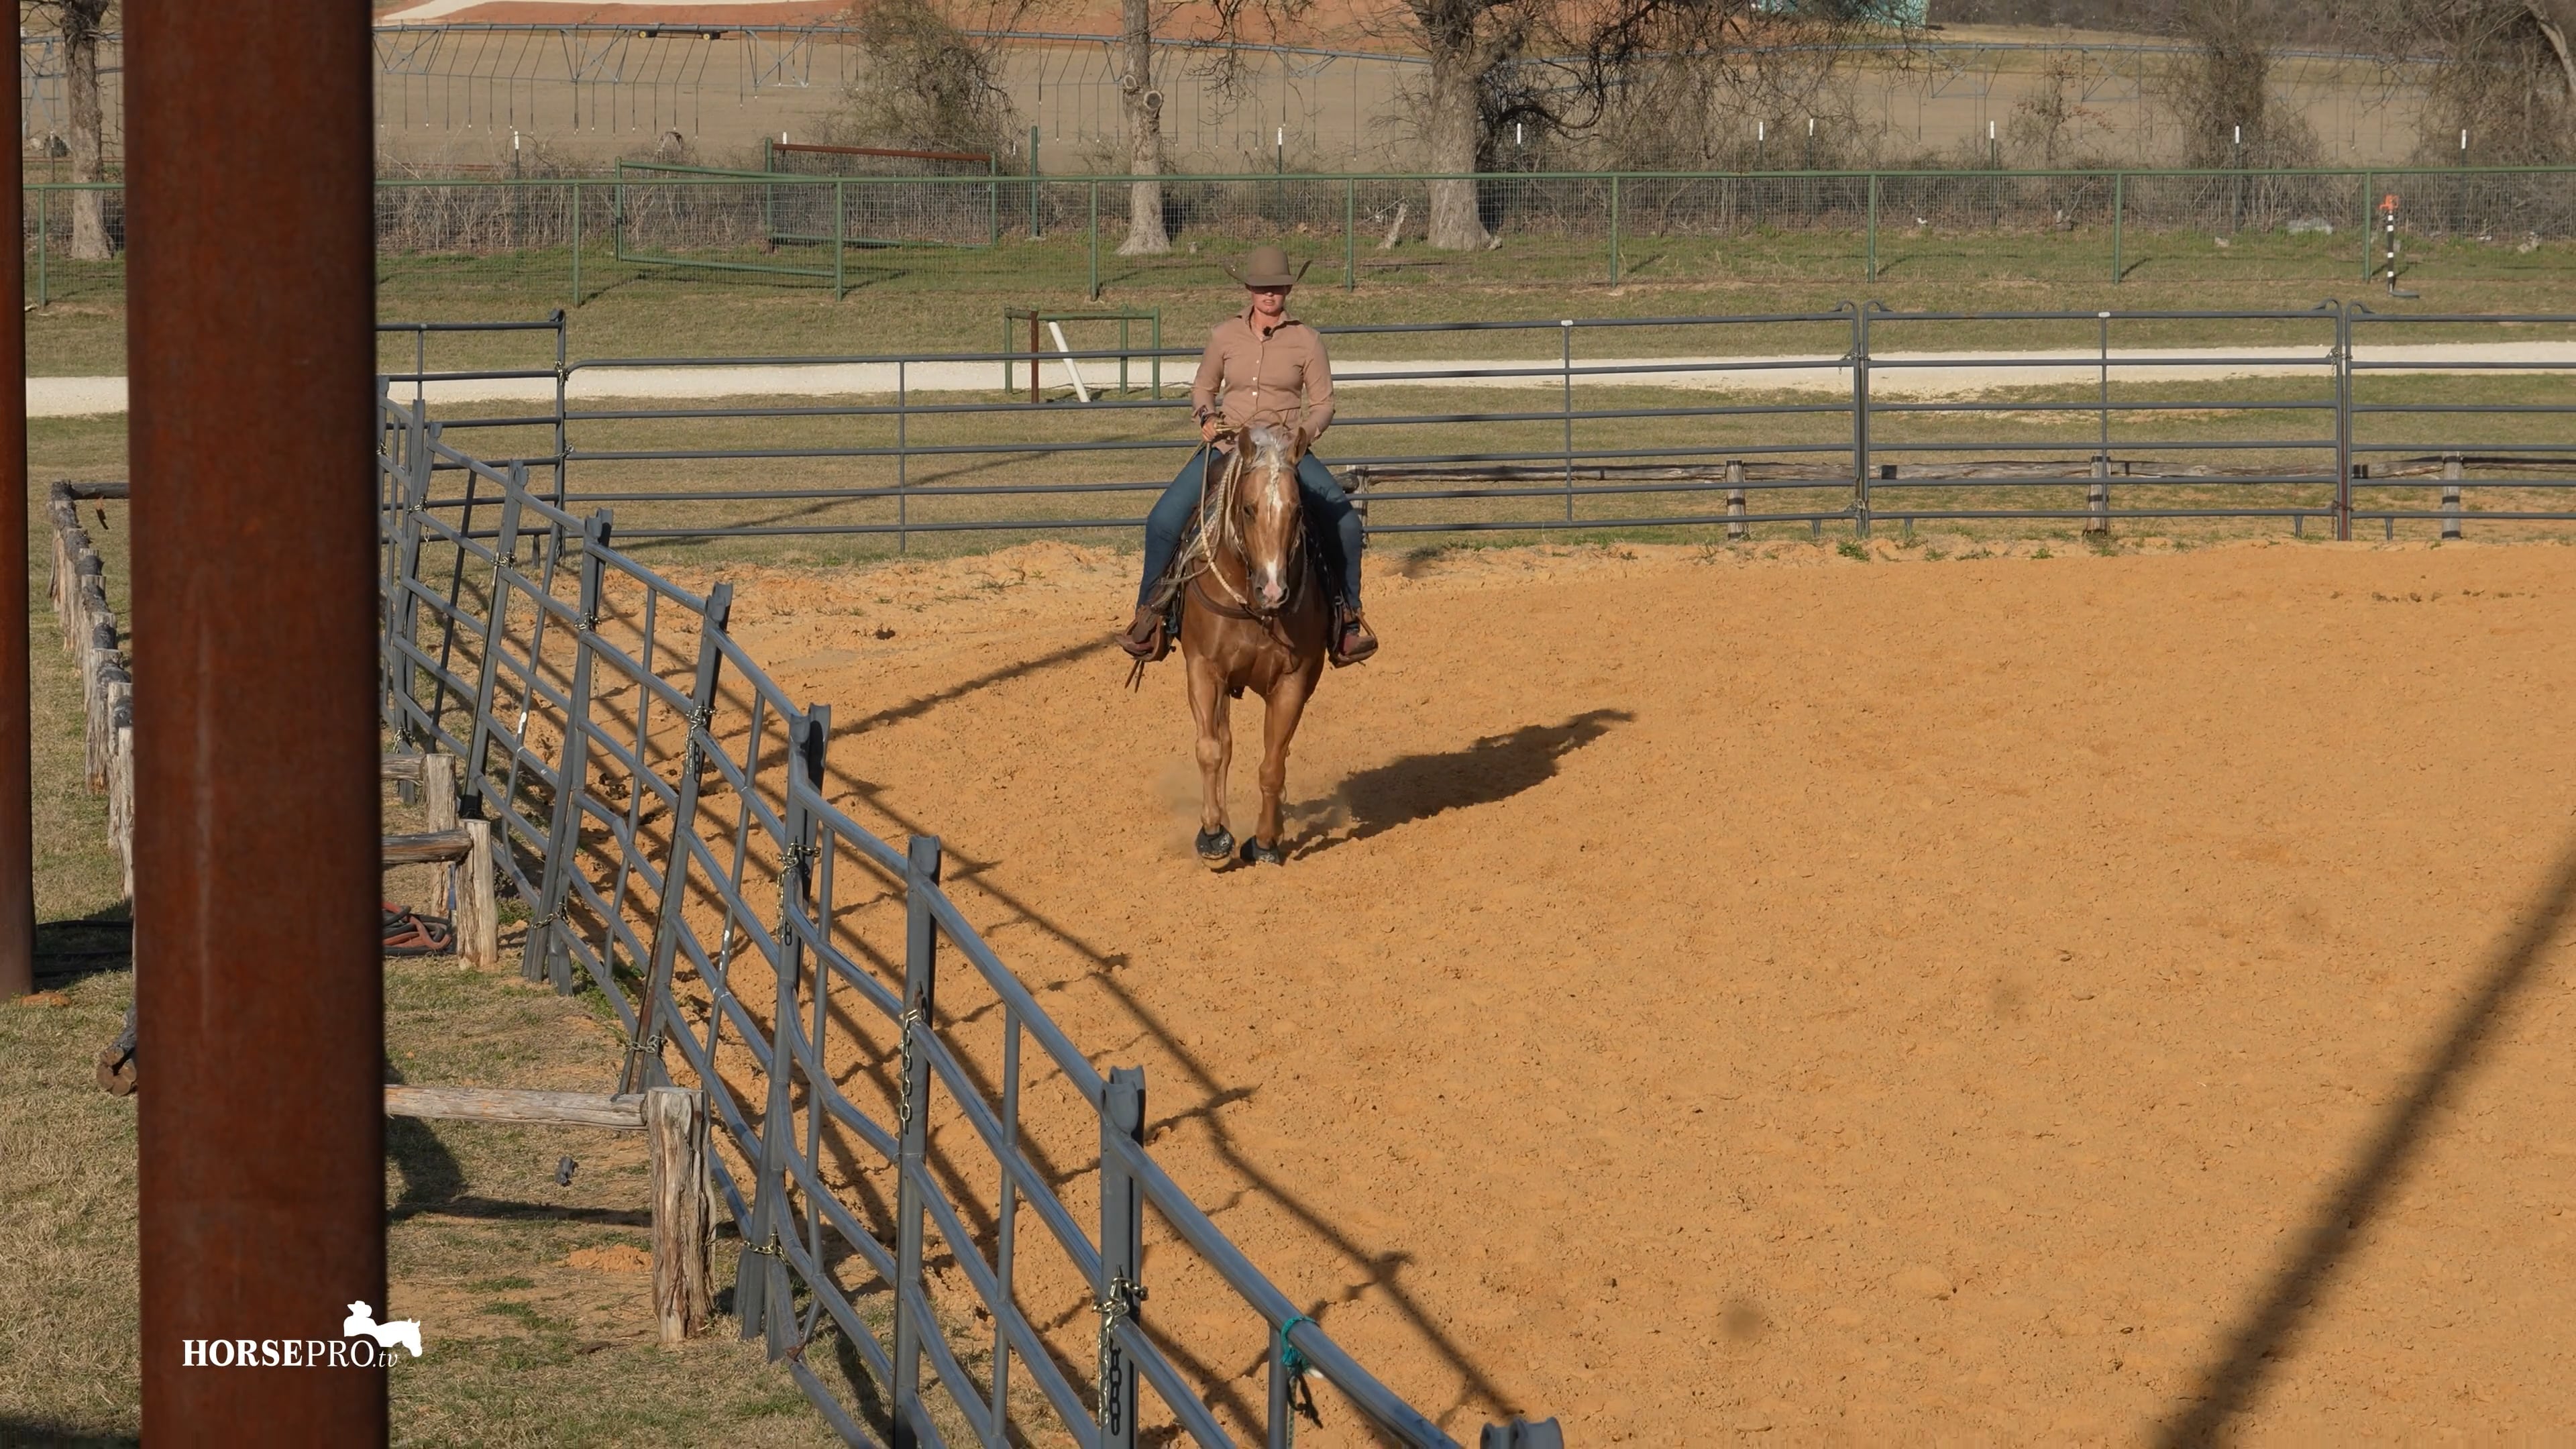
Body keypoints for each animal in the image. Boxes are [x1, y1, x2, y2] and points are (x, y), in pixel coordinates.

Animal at [1174, 424, 1330, 869]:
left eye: (1297, 511)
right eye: (1248, 509)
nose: (1274, 590)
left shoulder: (1294, 680)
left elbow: (1272, 766)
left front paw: (1264, 842)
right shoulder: (1203, 668)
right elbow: (1211, 750)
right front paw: (1213, 835)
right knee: (1224, 745)